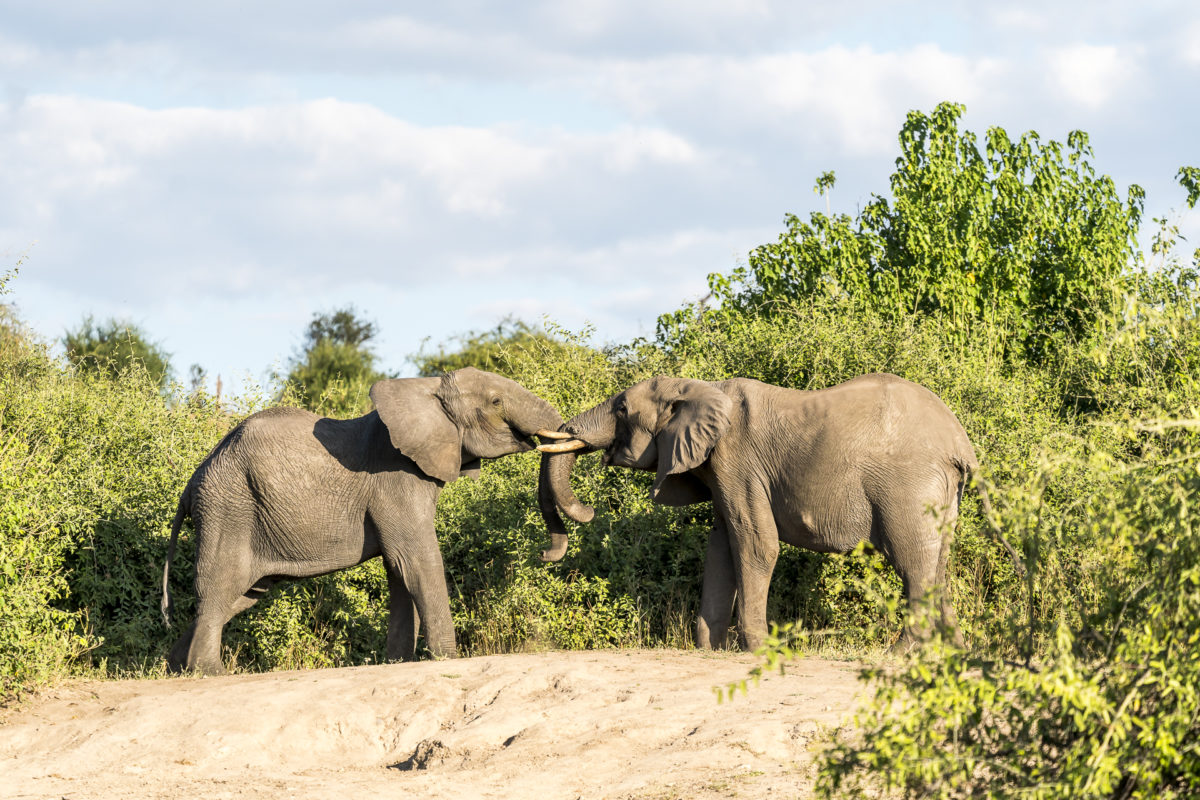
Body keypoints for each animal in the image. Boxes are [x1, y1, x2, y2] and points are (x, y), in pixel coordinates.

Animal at [160, 369, 566, 676]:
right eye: (496, 402)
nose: (546, 554)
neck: (426, 388)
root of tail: (191, 483)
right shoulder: (395, 478)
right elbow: (417, 560)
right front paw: (446, 659)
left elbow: (399, 569)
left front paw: (398, 662)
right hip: (229, 508)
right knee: (220, 585)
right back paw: (208, 672)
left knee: (242, 593)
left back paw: (177, 667)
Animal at [540, 371, 1017, 652]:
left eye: (621, 408)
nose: (587, 512)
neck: (698, 387)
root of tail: (960, 440)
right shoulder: (721, 470)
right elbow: (721, 548)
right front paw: (707, 649)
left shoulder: (737, 459)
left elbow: (756, 545)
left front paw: (756, 650)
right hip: (941, 491)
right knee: (940, 565)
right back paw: (956, 653)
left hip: (908, 485)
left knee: (914, 565)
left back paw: (898, 655)